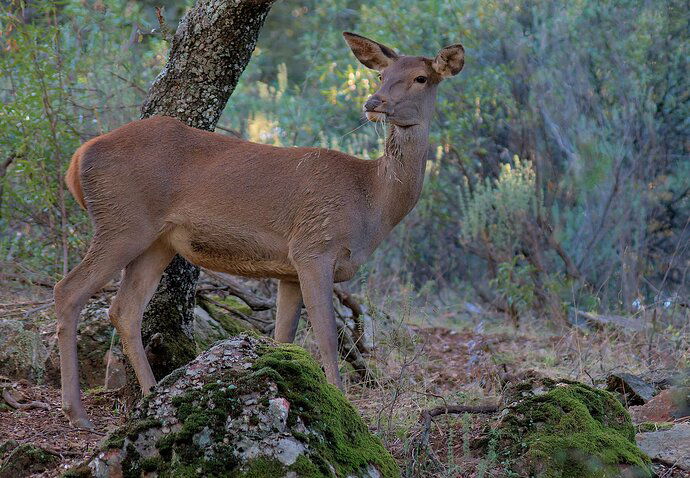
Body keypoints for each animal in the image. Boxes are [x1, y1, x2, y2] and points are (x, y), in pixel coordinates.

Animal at [53, 30, 462, 426]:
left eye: (421, 78)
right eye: (381, 75)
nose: (373, 103)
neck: (371, 202)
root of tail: (77, 158)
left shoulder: (289, 270)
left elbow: (285, 340)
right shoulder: (314, 246)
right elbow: (327, 338)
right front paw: (346, 409)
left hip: (158, 241)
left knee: (124, 308)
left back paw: (152, 394)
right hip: (122, 221)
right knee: (68, 290)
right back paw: (77, 412)